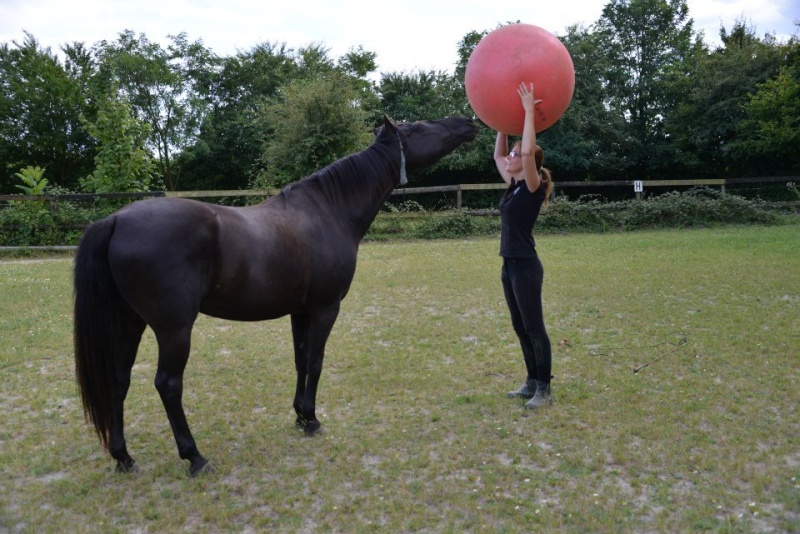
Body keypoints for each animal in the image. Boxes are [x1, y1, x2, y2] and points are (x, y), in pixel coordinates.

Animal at [73, 115, 476, 476]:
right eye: (419, 127)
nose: (466, 122)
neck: (329, 211)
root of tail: (116, 220)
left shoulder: (301, 311)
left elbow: (300, 361)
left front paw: (299, 415)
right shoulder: (325, 308)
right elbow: (316, 361)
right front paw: (312, 419)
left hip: (131, 323)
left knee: (119, 381)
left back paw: (124, 458)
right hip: (174, 329)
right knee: (168, 385)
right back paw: (195, 457)